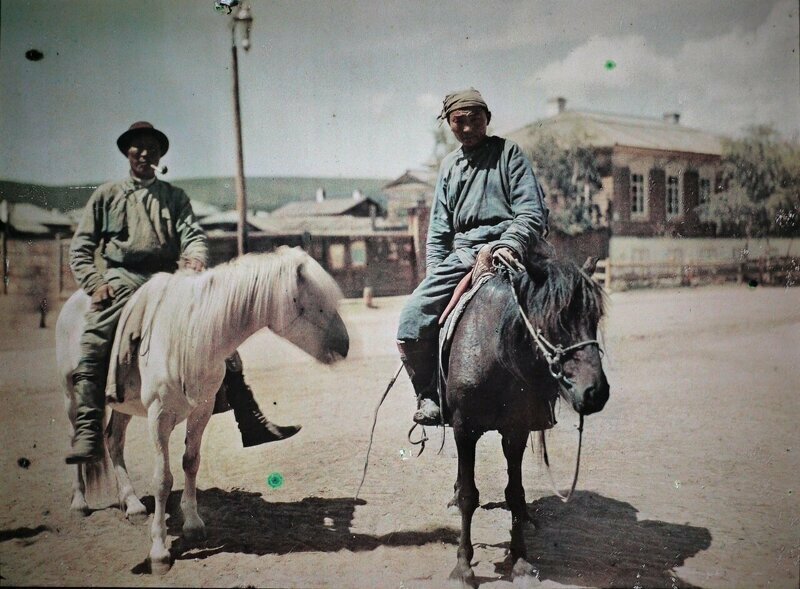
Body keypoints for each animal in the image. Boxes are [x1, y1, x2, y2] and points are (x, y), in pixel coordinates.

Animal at [53, 246, 346, 572]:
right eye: (312, 305)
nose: (345, 345)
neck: (188, 335)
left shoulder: (201, 413)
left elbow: (190, 463)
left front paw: (193, 524)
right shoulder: (159, 416)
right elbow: (163, 479)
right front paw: (159, 551)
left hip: (122, 404)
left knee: (113, 440)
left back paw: (131, 503)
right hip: (71, 397)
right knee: (79, 438)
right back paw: (80, 501)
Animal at [444, 255, 608, 584]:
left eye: (594, 319)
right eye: (555, 321)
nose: (596, 392)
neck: (492, 350)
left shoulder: (515, 431)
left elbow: (515, 493)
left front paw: (520, 560)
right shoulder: (464, 429)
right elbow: (469, 495)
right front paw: (463, 567)